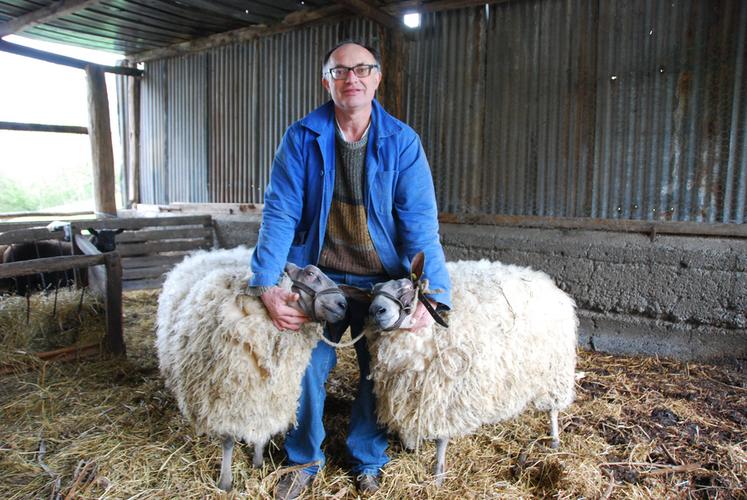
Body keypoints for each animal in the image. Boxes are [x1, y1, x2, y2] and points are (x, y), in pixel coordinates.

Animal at [156, 248, 350, 490]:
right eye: (311, 274)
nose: (343, 304)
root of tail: (202, 254)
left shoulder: (267, 395)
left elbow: (261, 429)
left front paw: (258, 462)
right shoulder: (228, 397)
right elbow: (228, 441)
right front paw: (225, 482)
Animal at [366, 254, 580, 484]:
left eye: (407, 290)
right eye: (374, 291)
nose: (376, 310)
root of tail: (548, 283)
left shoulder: (446, 399)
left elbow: (441, 440)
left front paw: (438, 475)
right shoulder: (406, 394)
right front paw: (412, 445)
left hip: (555, 373)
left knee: (553, 410)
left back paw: (554, 439)